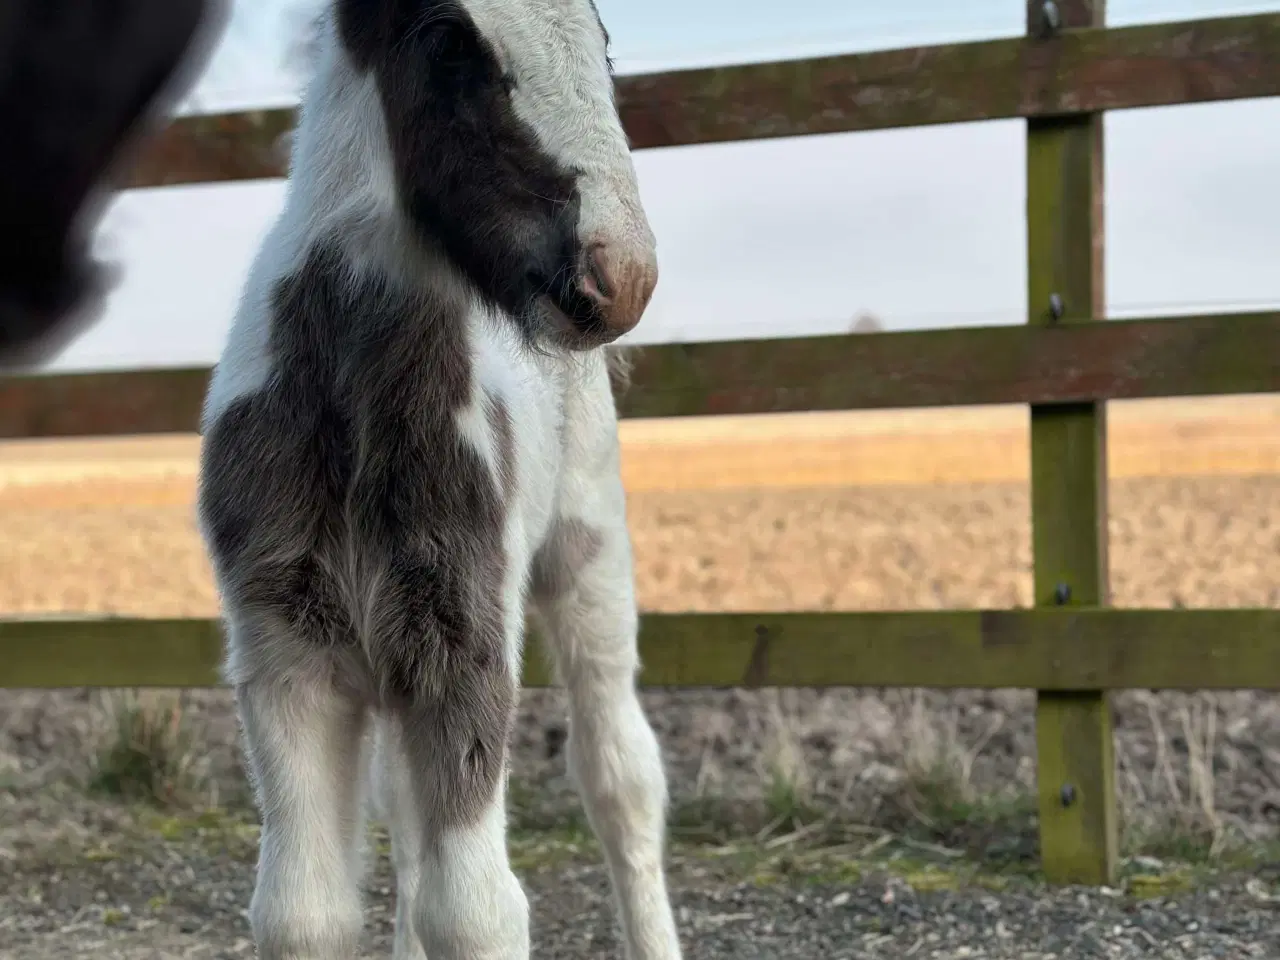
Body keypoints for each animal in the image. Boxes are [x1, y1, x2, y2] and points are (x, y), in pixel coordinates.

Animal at [195, 3, 686, 957]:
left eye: (603, 42)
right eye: (450, 43)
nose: (622, 276)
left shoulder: (465, 640)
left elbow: (477, 910)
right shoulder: (285, 653)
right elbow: (304, 912)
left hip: (588, 551)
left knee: (620, 778)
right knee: (406, 814)